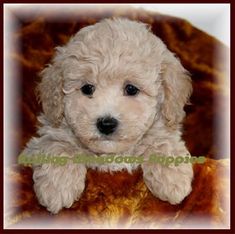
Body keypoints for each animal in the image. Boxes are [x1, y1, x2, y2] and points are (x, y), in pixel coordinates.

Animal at [23, 17, 194, 214]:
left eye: (131, 89)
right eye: (87, 88)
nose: (106, 124)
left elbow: (163, 141)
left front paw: (173, 180)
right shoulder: (48, 134)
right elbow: (58, 145)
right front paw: (57, 188)